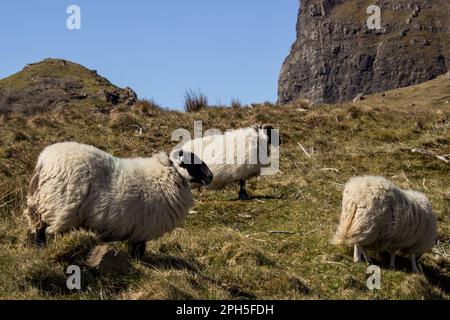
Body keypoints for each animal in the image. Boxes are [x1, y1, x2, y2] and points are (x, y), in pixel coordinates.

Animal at [23, 141, 214, 258]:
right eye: (192, 162)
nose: (210, 176)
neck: (169, 175)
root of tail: (43, 161)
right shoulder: (143, 229)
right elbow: (138, 252)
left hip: (43, 204)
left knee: (39, 228)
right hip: (59, 207)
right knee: (43, 231)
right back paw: (44, 249)